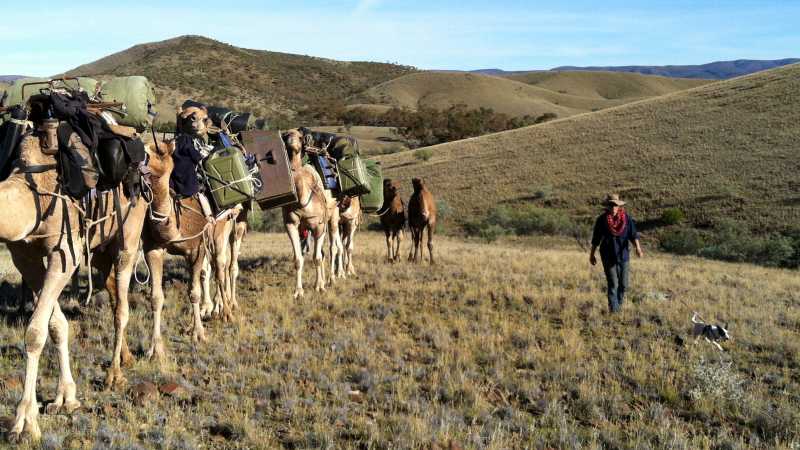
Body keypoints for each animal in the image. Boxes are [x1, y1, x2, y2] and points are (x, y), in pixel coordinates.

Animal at [0, 130, 157, 442]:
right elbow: (56, 325)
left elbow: (34, 333)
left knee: (122, 308)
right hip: (100, 249)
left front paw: (24, 423)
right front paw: (65, 398)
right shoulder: (24, 257)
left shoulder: (66, 251)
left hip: (129, 232)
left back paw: (114, 375)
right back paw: (125, 359)